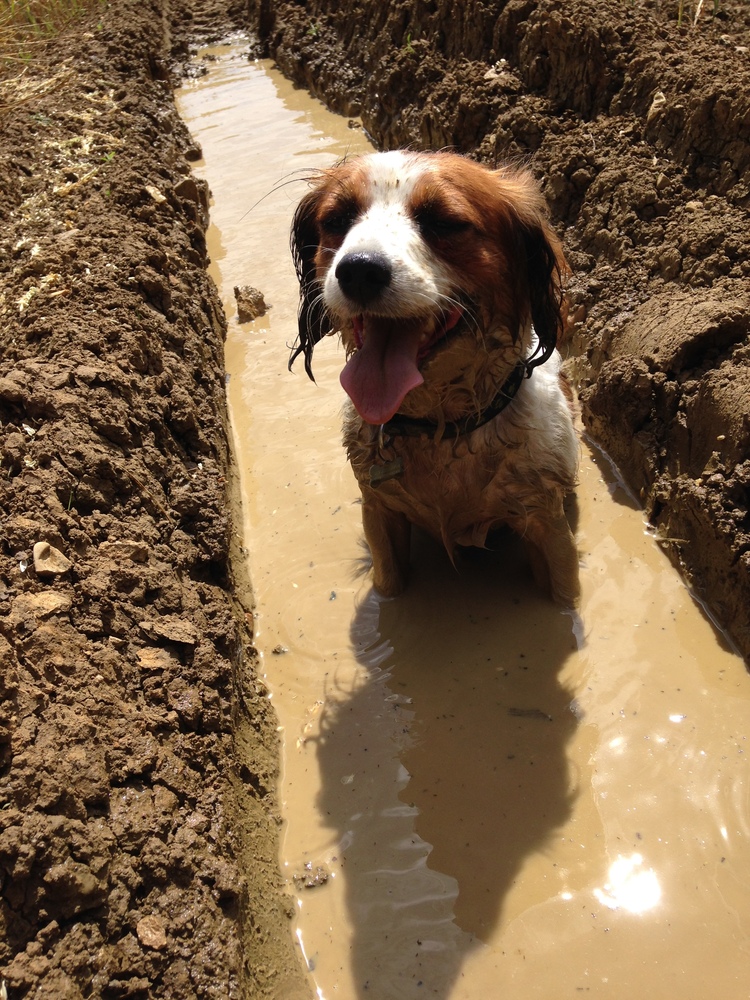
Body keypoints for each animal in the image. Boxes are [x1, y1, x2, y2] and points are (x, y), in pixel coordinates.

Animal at [290, 150, 579, 606]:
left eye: (443, 221)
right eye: (337, 219)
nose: (359, 271)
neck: (441, 431)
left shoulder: (547, 524)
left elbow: (565, 599)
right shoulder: (379, 512)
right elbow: (388, 585)